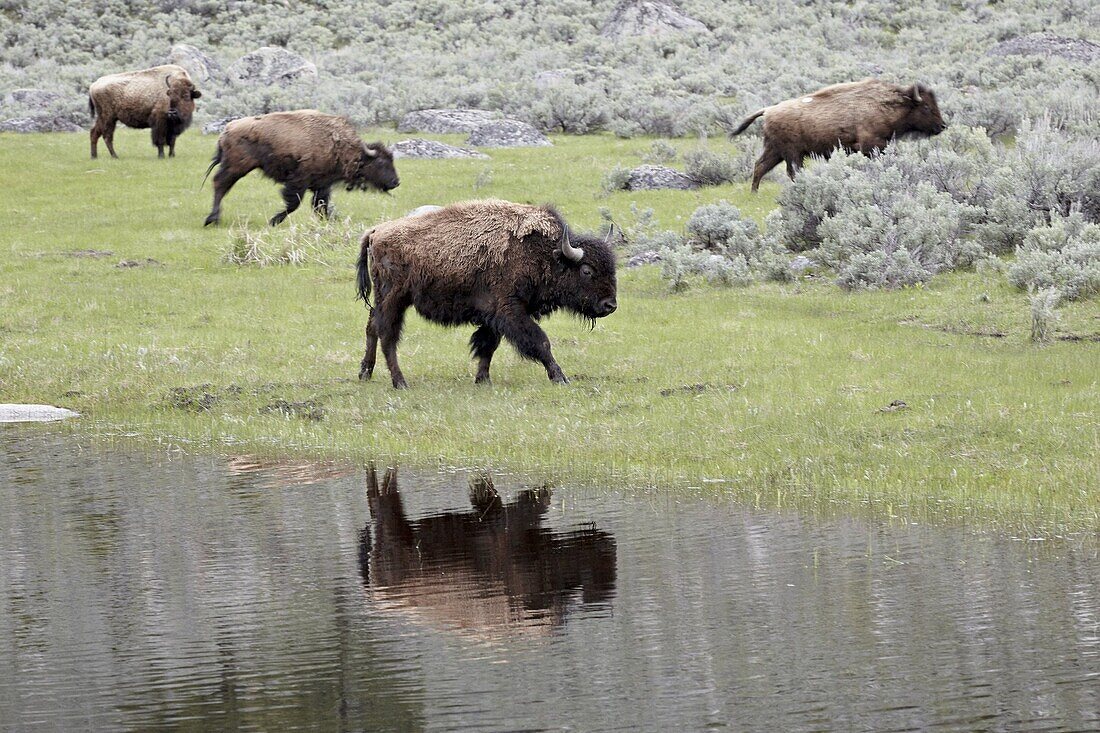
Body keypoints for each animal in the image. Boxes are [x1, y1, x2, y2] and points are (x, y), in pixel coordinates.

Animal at [202, 108, 400, 225]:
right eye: (381, 162)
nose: (396, 182)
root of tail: (226, 130)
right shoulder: (299, 181)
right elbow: (294, 203)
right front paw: (274, 220)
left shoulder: (323, 184)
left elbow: (320, 204)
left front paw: (327, 222)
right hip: (236, 167)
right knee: (220, 185)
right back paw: (212, 219)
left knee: (220, 185)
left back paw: (214, 218)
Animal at [358, 193, 620, 387]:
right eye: (586, 270)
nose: (610, 305)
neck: (544, 253)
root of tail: (375, 231)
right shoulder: (510, 310)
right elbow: (540, 341)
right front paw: (560, 377)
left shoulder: (491, 315)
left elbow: (487, 346)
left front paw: (483, 380)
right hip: (394, 299)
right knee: (387, 335)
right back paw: (400, 382)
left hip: (384, 299)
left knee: (372, 326)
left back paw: (365, 373)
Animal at [730, 77, 946, 191]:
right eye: (926, 107)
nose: (942, 126)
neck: (887, 105)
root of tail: (768, 110)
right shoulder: (871, 145)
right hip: (792, 153)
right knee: (790, 171)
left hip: (775, 151)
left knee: (760, 167)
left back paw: (754, 193)